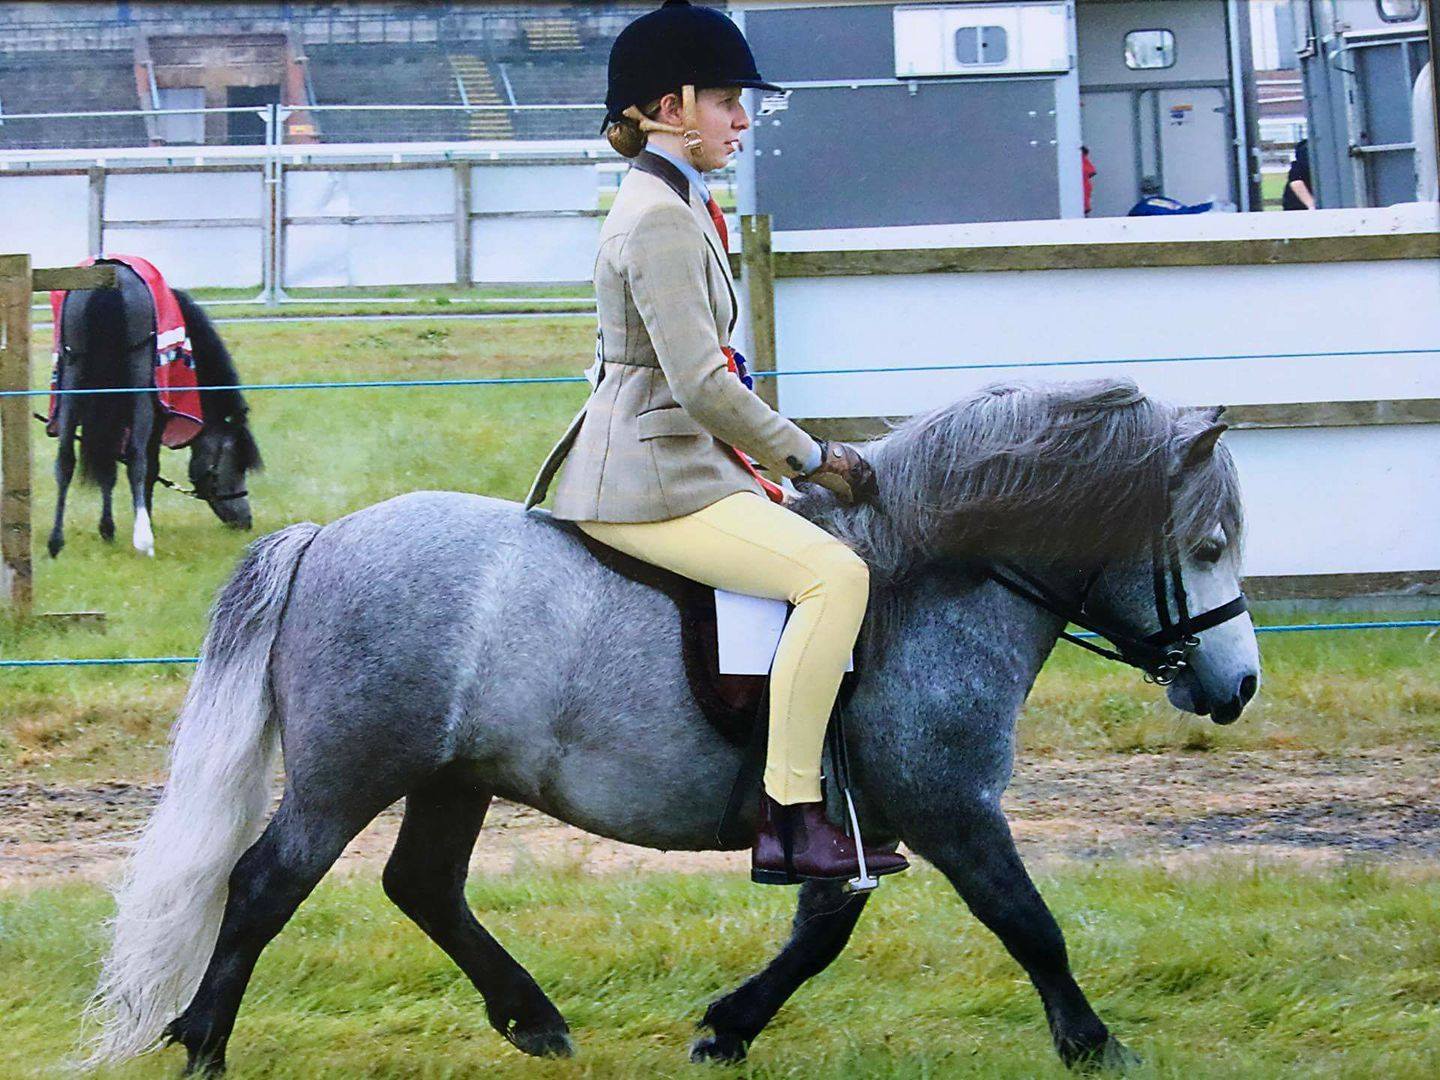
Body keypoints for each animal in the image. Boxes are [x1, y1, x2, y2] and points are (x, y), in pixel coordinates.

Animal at [47, 263, 262, 561]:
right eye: (236, 465)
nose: (245, 521)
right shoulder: (160, 415)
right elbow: (148, 467)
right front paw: (145, 520)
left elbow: (107, 468)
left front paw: (107, 530)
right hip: (141, 391)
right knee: (137, 460)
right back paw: (143, 540)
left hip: (72, 378)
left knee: (65, 458)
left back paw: (56, 542)